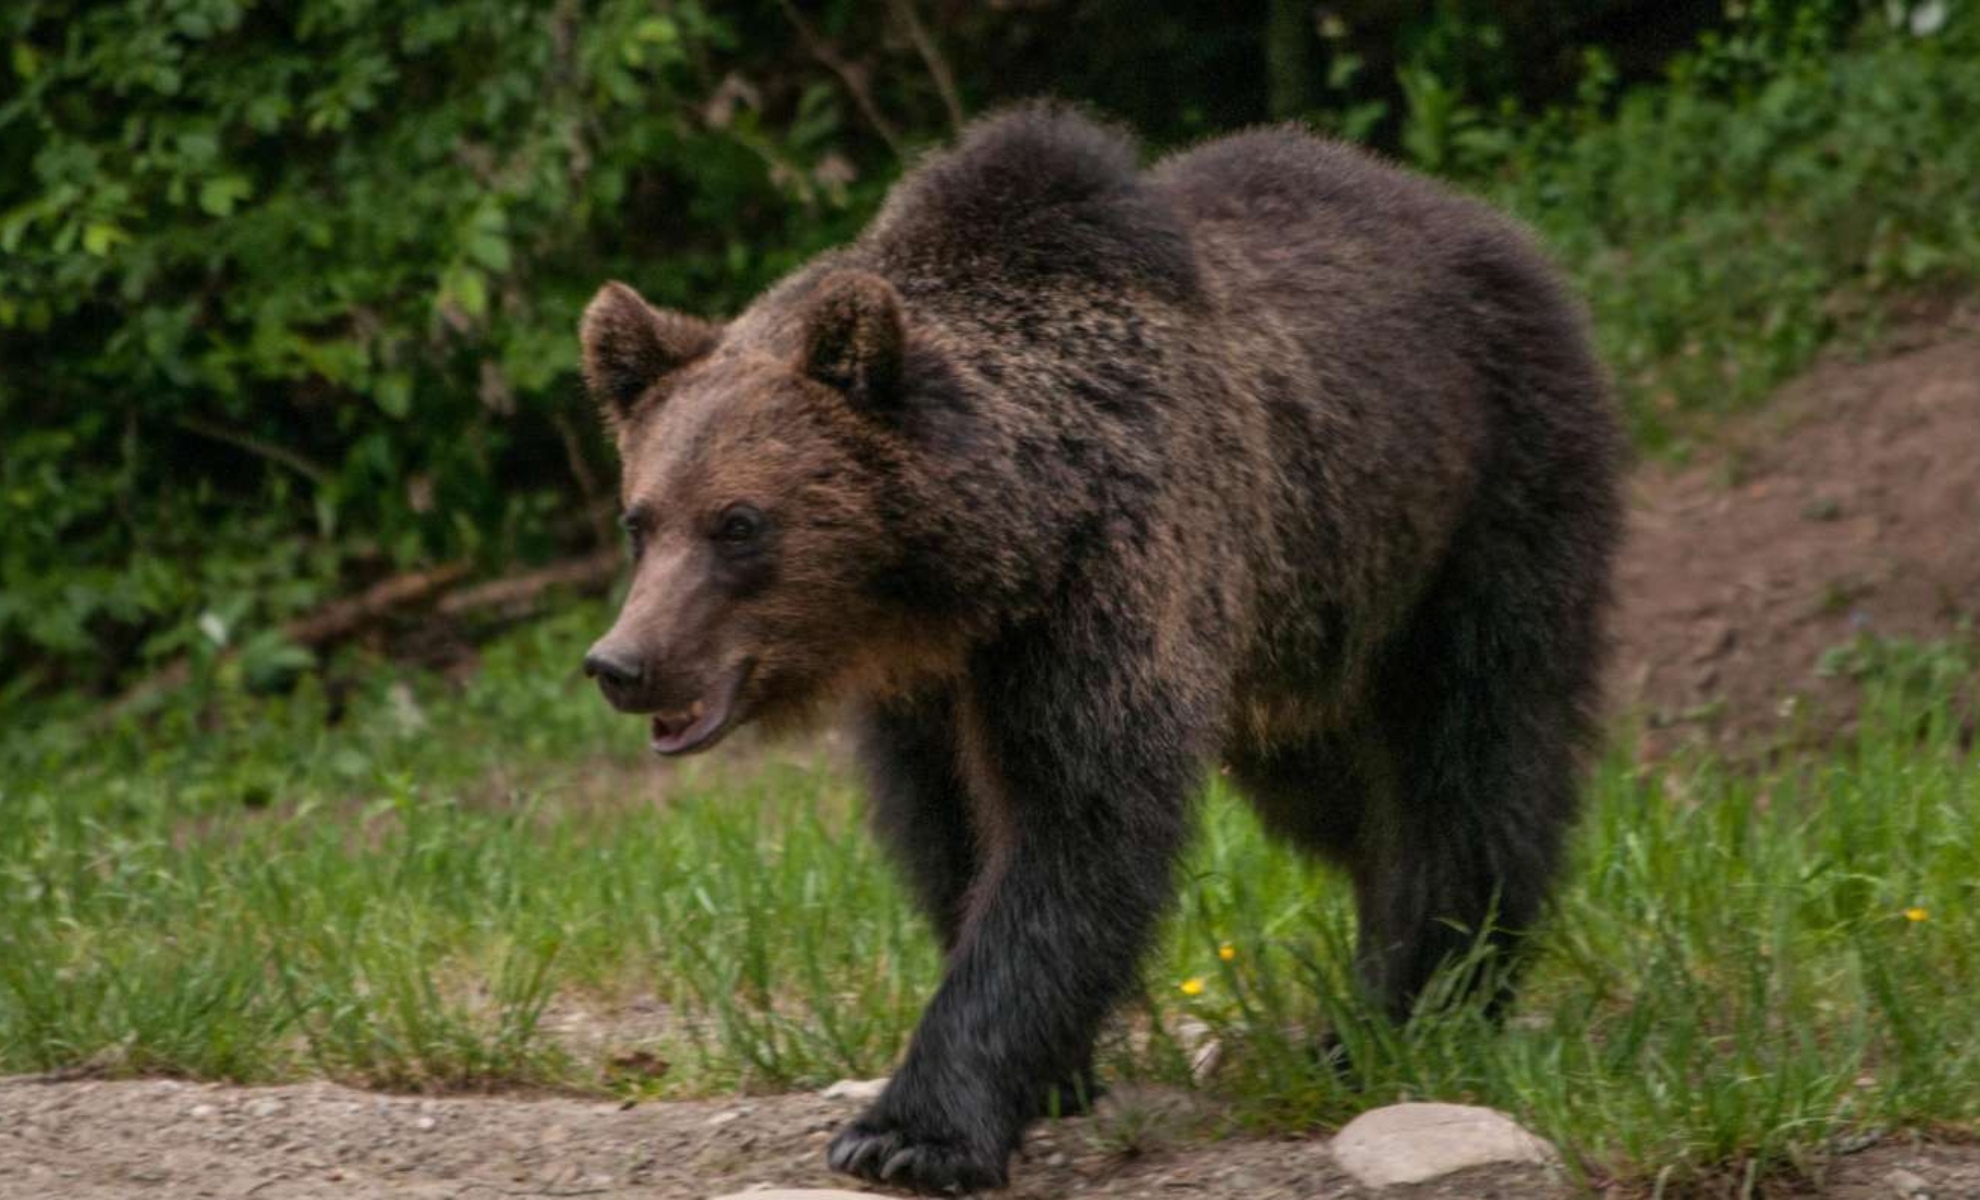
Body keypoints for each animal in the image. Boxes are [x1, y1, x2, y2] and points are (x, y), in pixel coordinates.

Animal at [578, 103, 1623, 1196]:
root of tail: (1487, 222)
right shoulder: (928, 688)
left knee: (1472, 750)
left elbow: (1077, 826)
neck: (982, 564)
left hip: (1483, 492)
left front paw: (911, 1130)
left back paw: (1414, 1008)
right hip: (1308, 611)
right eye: (641, 520)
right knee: (1337, 791)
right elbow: (950, 833)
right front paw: (1050, 1072)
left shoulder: (1110, 584)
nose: (623, 663)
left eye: (740, 524)